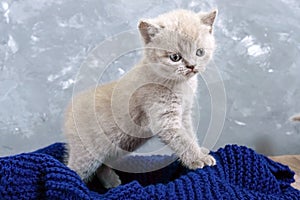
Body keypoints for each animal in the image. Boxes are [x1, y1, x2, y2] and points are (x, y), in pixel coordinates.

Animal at [63, 9, 218, 188]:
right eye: (175, 57)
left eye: (200, 52)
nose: (192, 66)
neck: (181, 85)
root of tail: (69, 110)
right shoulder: (164, 119)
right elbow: (183, 140)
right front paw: (198, 159)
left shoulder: (184, 114)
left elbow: (190, 134)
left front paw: (200, 151)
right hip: (87, 154)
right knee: (73, 169)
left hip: (119, 146)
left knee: (102, 164)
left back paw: (112, 181)